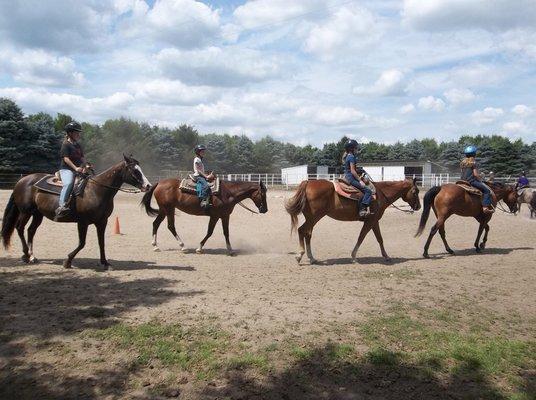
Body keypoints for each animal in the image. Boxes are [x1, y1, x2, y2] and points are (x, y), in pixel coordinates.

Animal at [0, 155, 151, 268]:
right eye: (135, 170)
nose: (148, 186)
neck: (97, 191)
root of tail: (22, 180)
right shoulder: (82, 222)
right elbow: (82, 243)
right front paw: (67, 261)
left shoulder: (102, 221)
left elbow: (101, 242)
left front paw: (105, 262)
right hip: (25, 212)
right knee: (20, 228)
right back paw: (26, 255)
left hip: (38, 214)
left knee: (31, 230)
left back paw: (32, 256)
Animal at [140, 179, 268, 255]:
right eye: (262, 194)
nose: (265, 210)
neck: (228, 193)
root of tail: (159, 183)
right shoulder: (215, 216)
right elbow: (210, 232)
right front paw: (199, 248)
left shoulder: (225, 216)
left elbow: (226, 232)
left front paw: (230, 249)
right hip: (169, 209)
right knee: (171, 226)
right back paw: (183, 247)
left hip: (163, 210)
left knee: (156, 224)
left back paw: (155, 246)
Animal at [282, 177, 420, 264]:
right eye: (415, 192)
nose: (418, 206)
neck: (380, 194)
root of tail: (308, 183)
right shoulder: (370, 221)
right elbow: (361, 237)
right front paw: (353, 257)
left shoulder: (374, 221)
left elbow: (380, 239)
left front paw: (386, 256)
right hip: (314, 217)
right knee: (302, 231)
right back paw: (299, 255)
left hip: (312, 218)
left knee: (308, 234)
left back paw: (312, 258)